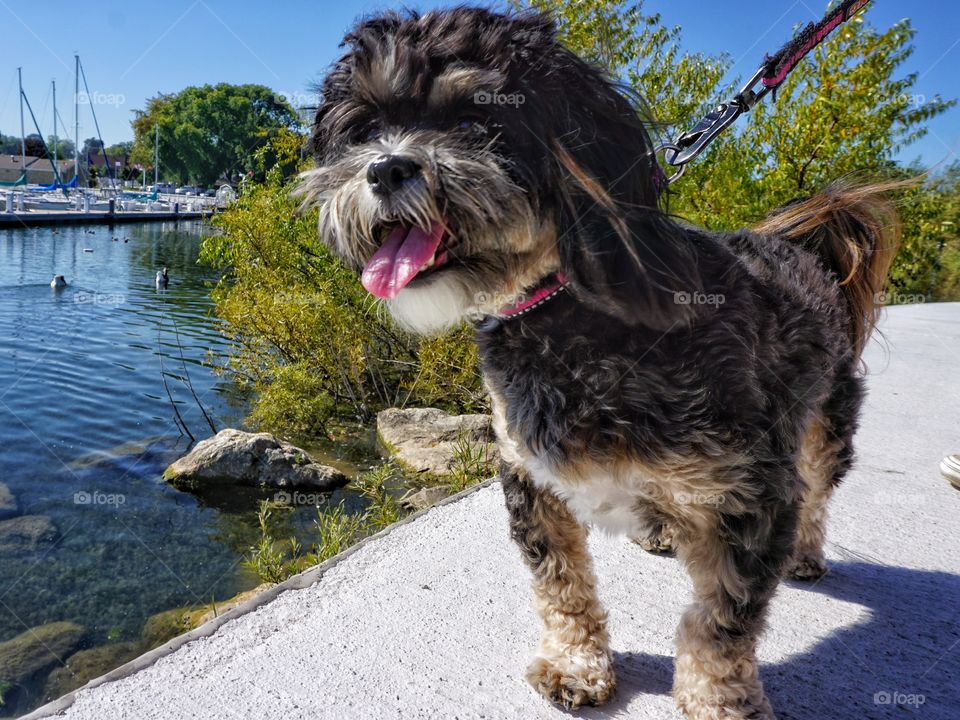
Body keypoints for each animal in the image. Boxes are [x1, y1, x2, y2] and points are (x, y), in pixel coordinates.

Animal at [300, 8, 900, 716]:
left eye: (477, 121)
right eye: (365, 130)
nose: (386, 168)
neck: (565, 314)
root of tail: (804, 248)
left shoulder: (749, 493)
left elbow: (719, 620)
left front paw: (717, 700)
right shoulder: (530, 476)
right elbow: (561, 585)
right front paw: (577, 663)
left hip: (824, 423)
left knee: (814, 491)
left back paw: (804, 552)